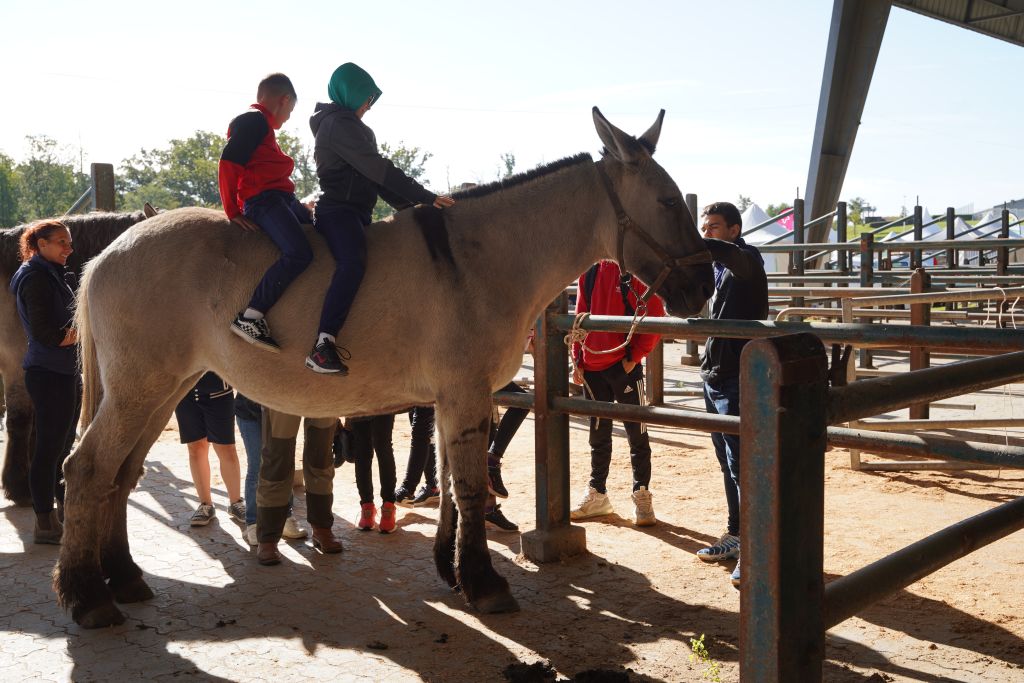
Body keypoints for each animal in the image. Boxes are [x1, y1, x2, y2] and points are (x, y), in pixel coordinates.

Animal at [54, 108, 712, 630]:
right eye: (668, 200)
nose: (704, 285)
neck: (476, 259)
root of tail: (105, 255)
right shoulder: (467, 393)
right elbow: (470, 486)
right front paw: (484, 582)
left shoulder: (452, 399)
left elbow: (448, 483)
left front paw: (451, 569)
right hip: (141, 389)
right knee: (87, 469)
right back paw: (87, 596)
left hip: (163, 388)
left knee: (120, 473)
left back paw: (123, 577)